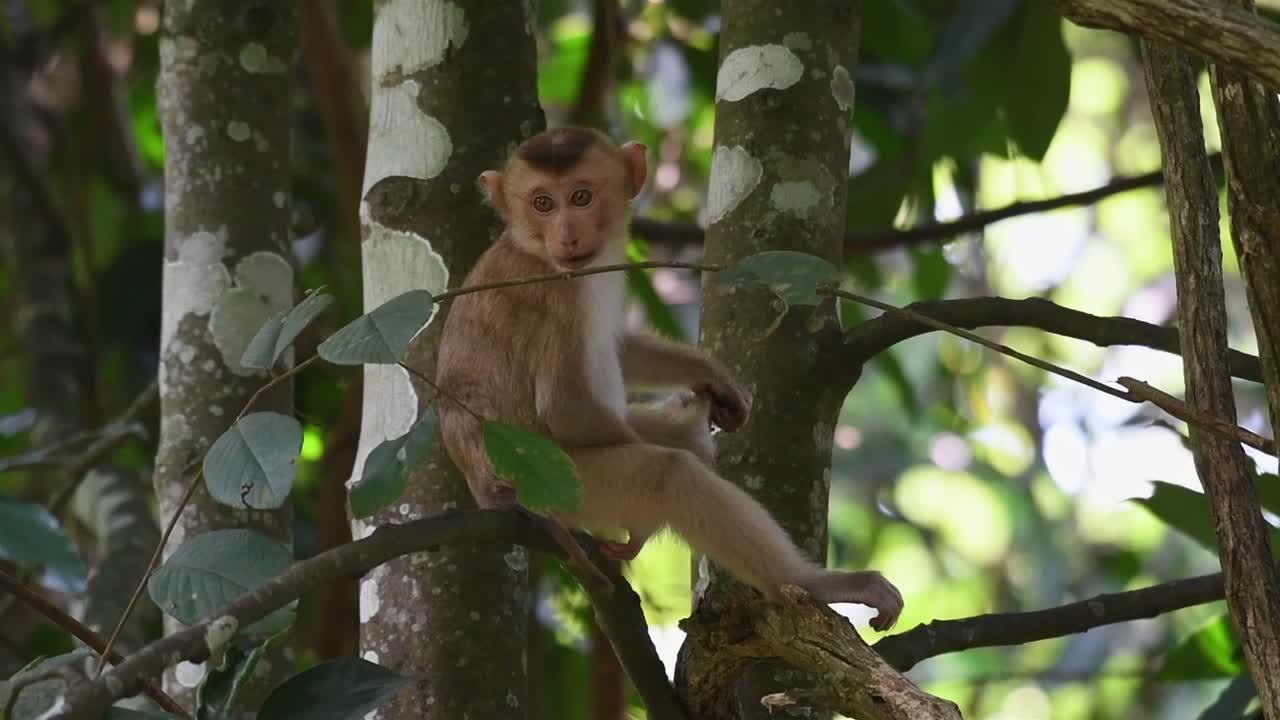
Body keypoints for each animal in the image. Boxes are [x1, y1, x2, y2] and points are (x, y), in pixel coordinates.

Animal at [435, 127, 903, 630]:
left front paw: (710, 377)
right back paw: (811, 582)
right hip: (560, 484)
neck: (533, 248)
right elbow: (566, 406)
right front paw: (677, 453)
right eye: (542, 203)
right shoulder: (557, 294)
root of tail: (484, 489)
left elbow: (617, 346)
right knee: (669, 475)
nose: (567, 234)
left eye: (580, 197)